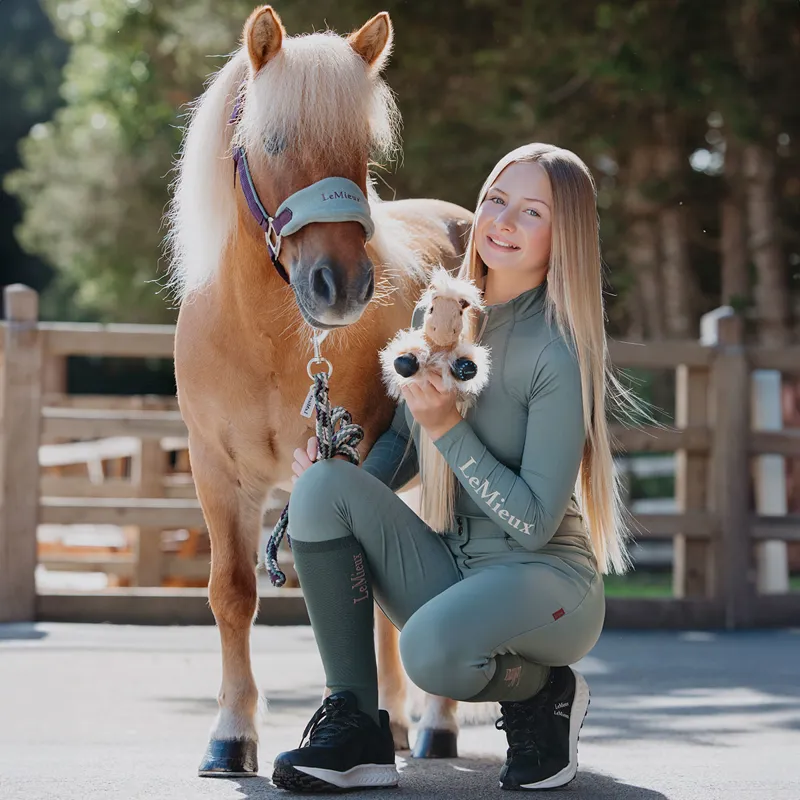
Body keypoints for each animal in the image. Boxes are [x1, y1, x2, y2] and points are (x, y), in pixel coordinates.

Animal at [166, 5, 475, 777]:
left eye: (362, 146)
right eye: (272, 139)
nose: (343, 287)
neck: (268, 341)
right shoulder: (217, 474)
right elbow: (232, 592)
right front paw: (230, 737)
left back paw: (434, 725)